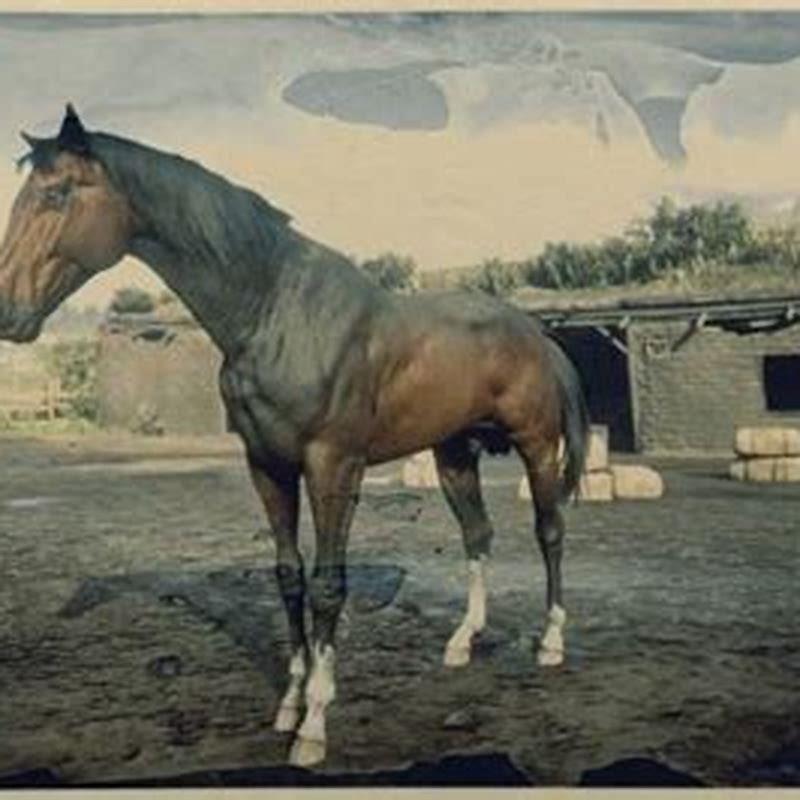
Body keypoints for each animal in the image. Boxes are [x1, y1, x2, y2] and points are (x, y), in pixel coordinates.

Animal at [0, 105, 589, 767]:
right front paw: (289, 702)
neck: (275, 312)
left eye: (56, 193)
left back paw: (551, 643)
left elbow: (329, 586)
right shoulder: (268, 465)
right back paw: (462, 643)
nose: (6, 312)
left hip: (536, 446)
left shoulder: (333, 466)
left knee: (549, 531)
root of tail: (536, 334)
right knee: (477, 536)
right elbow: (289, 577)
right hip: (454, 454)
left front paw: (314, 723)